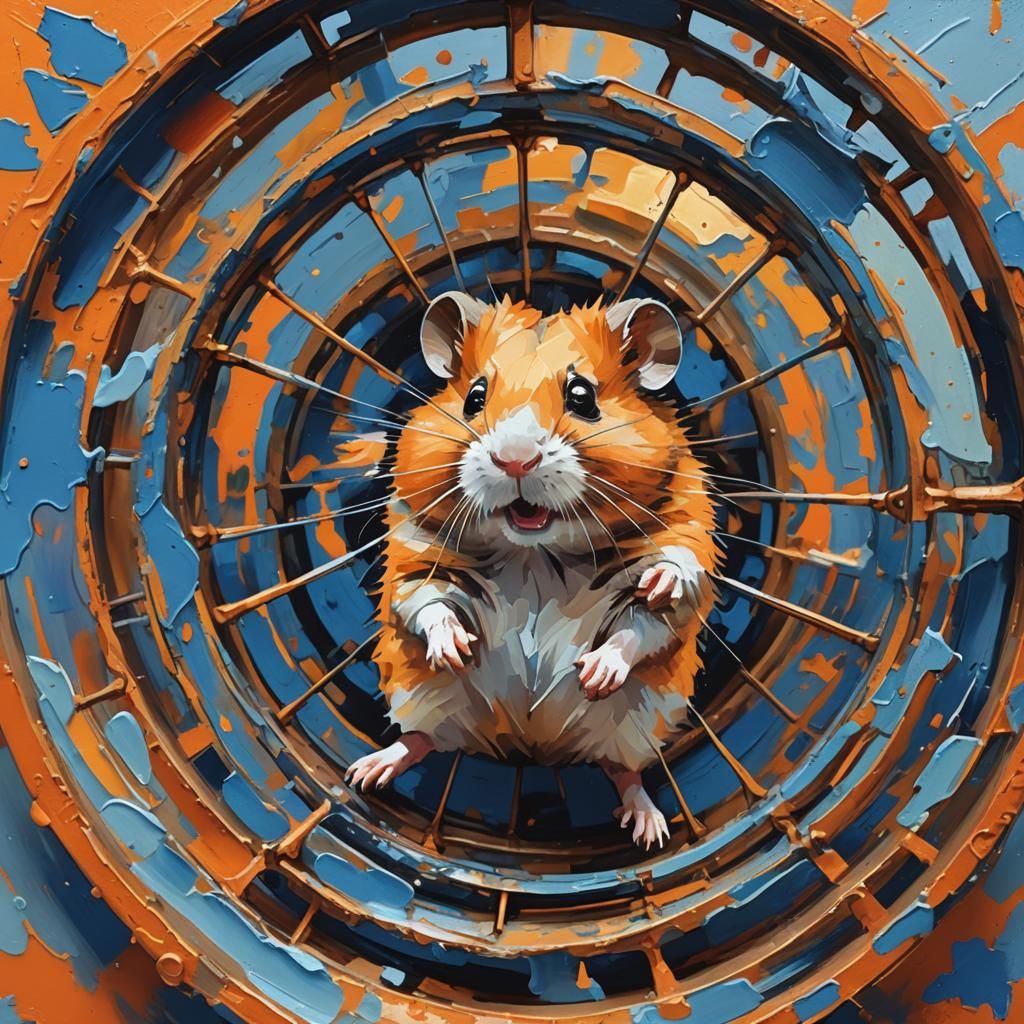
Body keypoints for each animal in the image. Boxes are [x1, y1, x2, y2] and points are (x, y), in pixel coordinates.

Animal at [345, 292, 719, 848]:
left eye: (582, 396)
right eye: (474, 397)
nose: (514, 460)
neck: (535, 555)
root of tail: (529, 748)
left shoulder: (685, 541)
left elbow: (649, 617)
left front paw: (598, 670)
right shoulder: (416, 558)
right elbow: (427, 603)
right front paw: (456, 650)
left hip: (635, 726)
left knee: (623, 771)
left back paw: (649, 829)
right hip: (421, 698)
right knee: (422, 740)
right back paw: (366, 771)